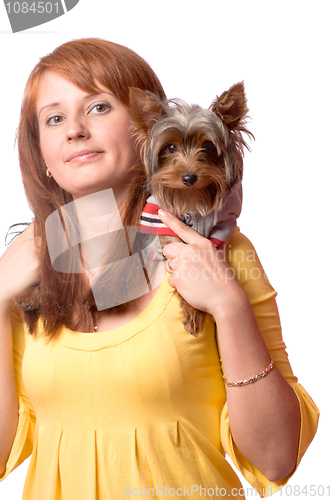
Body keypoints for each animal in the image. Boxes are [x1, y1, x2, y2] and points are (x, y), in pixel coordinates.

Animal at [127, 82, 252, 336]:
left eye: (208, 146)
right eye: (171, 147)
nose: (188, 177)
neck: (192, 199)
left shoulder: (222, 225)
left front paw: (195, 309)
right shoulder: (159, 217)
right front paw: (193, 311)